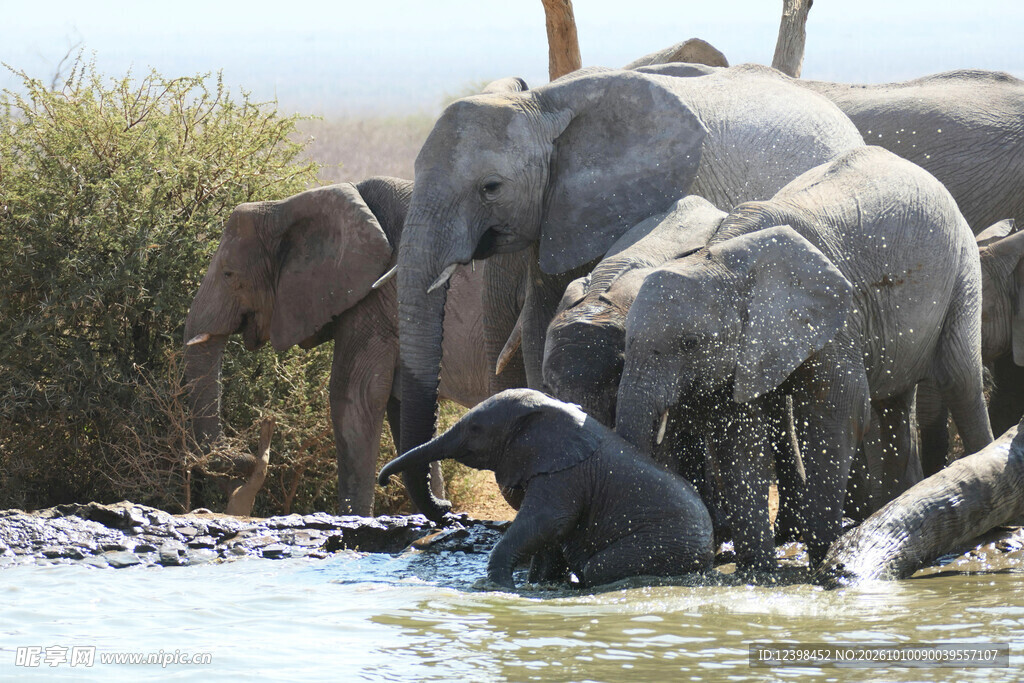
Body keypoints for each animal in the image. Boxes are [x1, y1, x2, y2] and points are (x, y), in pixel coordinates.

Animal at [183, 176, 526, 516]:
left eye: (229, 274)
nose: (251, 449)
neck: (287, 206)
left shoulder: (372, 300)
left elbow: (353, 400)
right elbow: (404, 411)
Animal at [377, 389, 714, 589]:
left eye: (475, 429)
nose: (383, 481)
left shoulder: (564, 474)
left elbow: (548, 521)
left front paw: (500, 587)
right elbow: (547, 533)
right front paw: (534, 585)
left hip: (664, 544)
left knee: (598, 567)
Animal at [615, 146, 994, 570]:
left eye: (691, 343)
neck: (722, 255)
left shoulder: (836, 317)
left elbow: (837, 415)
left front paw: (823, 561)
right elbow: (740, 439)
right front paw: (760, 573)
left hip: (963, 268)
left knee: (959, 380)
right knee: (893, 401)